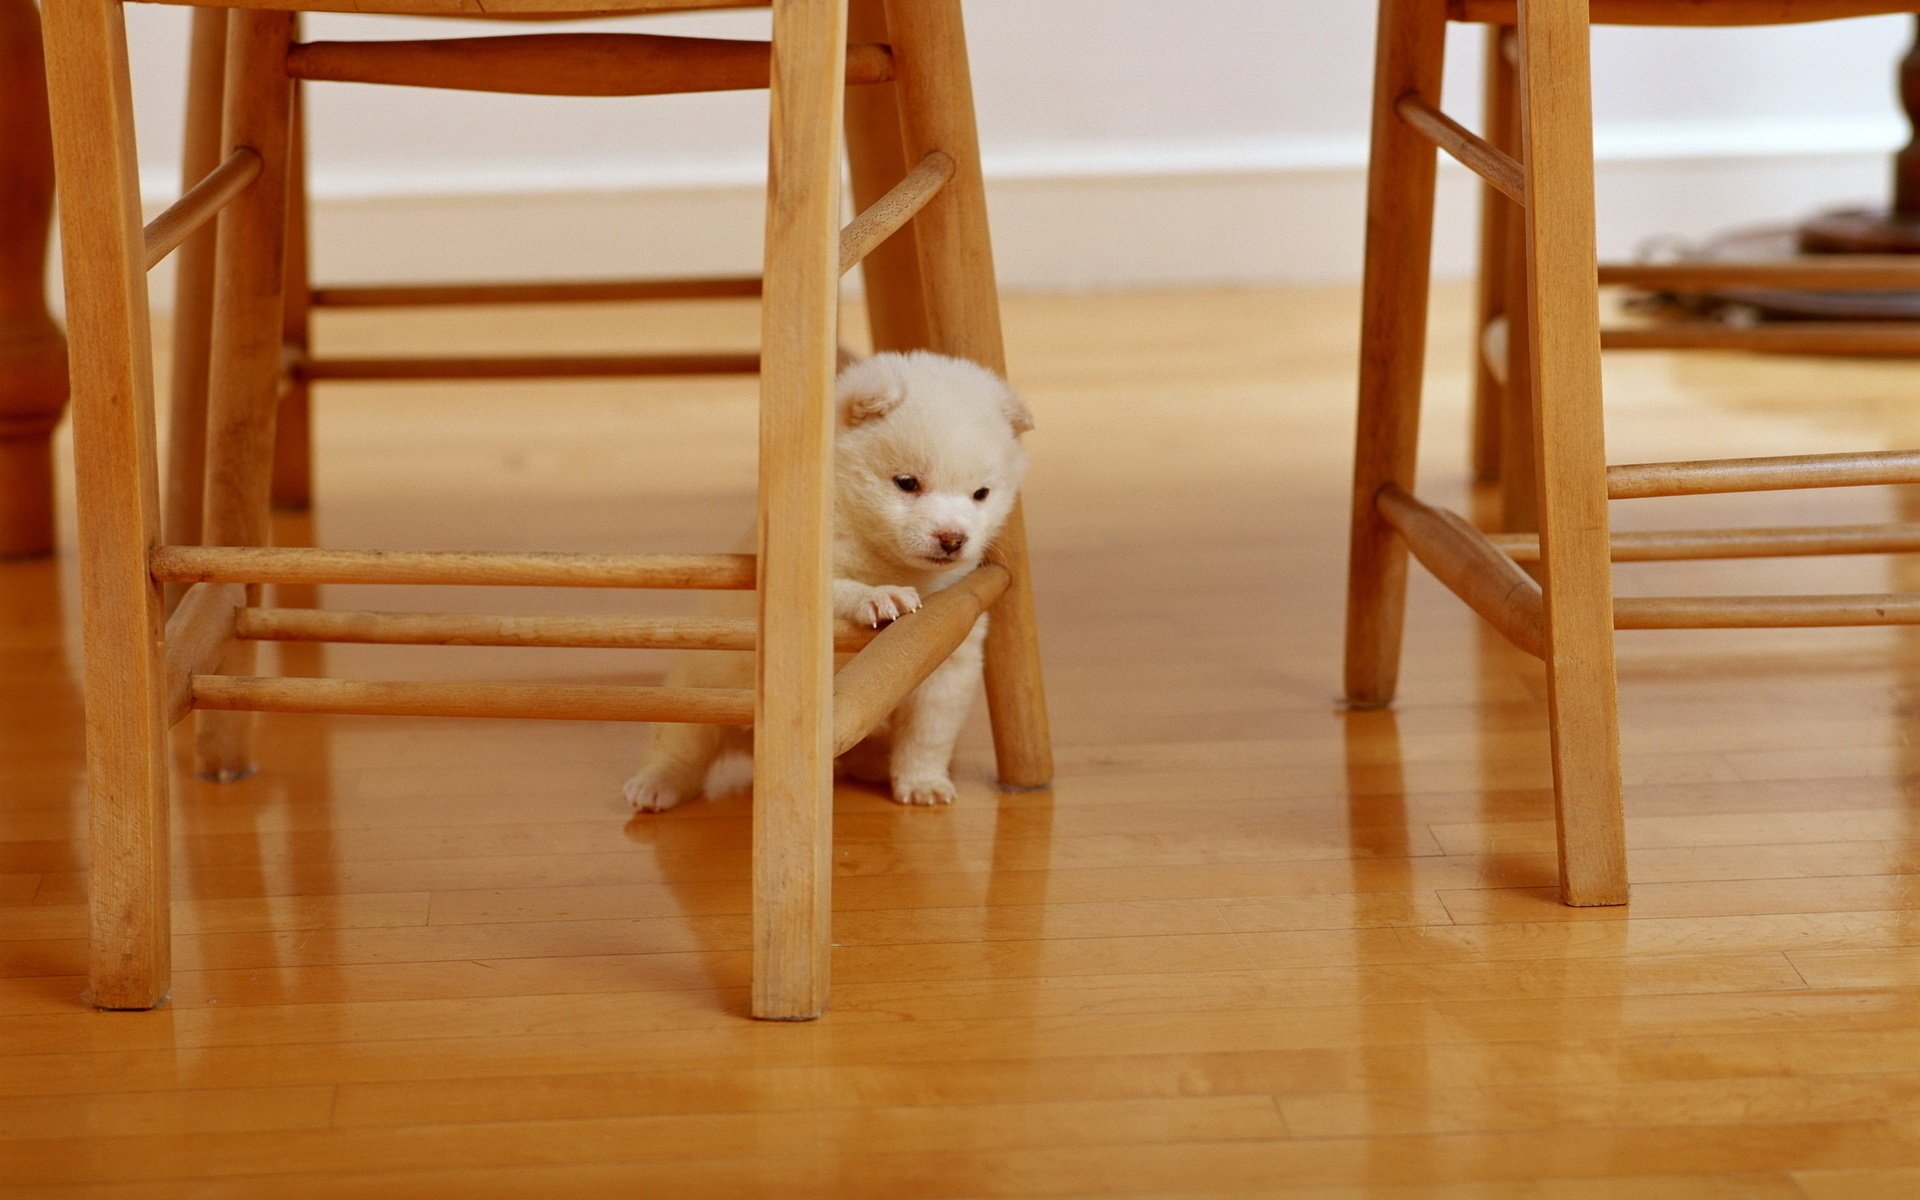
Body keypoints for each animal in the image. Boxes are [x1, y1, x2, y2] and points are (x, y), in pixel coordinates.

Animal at [622, 351, 1029, 810]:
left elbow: (928, 736)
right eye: (907, 483)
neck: (886, 558)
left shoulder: (949, 667)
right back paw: (656, 784)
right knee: (680, 749)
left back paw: (873, 765)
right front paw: (880, 597)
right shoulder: (799, 578)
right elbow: (841, 588)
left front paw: (923, 782)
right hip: (697, 693)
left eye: (981, 494)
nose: (952, 538)